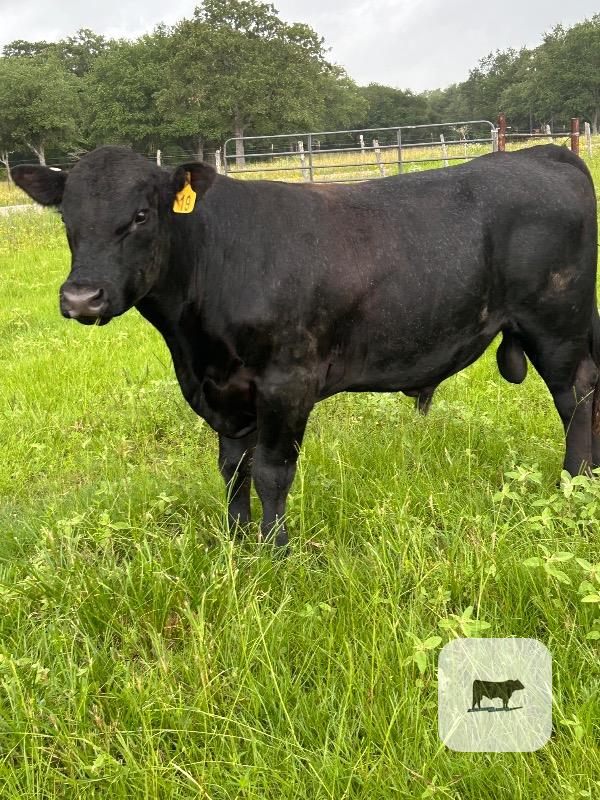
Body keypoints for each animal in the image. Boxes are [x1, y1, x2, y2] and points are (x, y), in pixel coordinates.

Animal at [12, 144, 599, 548]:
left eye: (139, 215)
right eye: (67, 218)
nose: (81, 296)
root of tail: (544, 153)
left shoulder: (286, 382)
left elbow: (271, 472)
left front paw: (276, 552)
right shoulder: (225, 390)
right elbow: (233, 468)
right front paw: (236, 543)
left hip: (556, 326)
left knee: (576, 398)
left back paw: (574, 481)